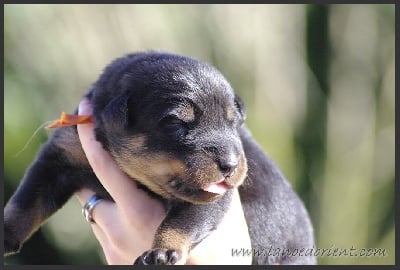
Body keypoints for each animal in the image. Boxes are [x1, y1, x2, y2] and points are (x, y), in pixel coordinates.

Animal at [2, 50, 316, 264]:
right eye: (177, 123)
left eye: (234, 123)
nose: (231, 165)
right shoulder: (62, 154)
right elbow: (26, 201)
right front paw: (6, 232)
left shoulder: (215, 197)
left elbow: (182, 222)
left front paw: (163, 251)